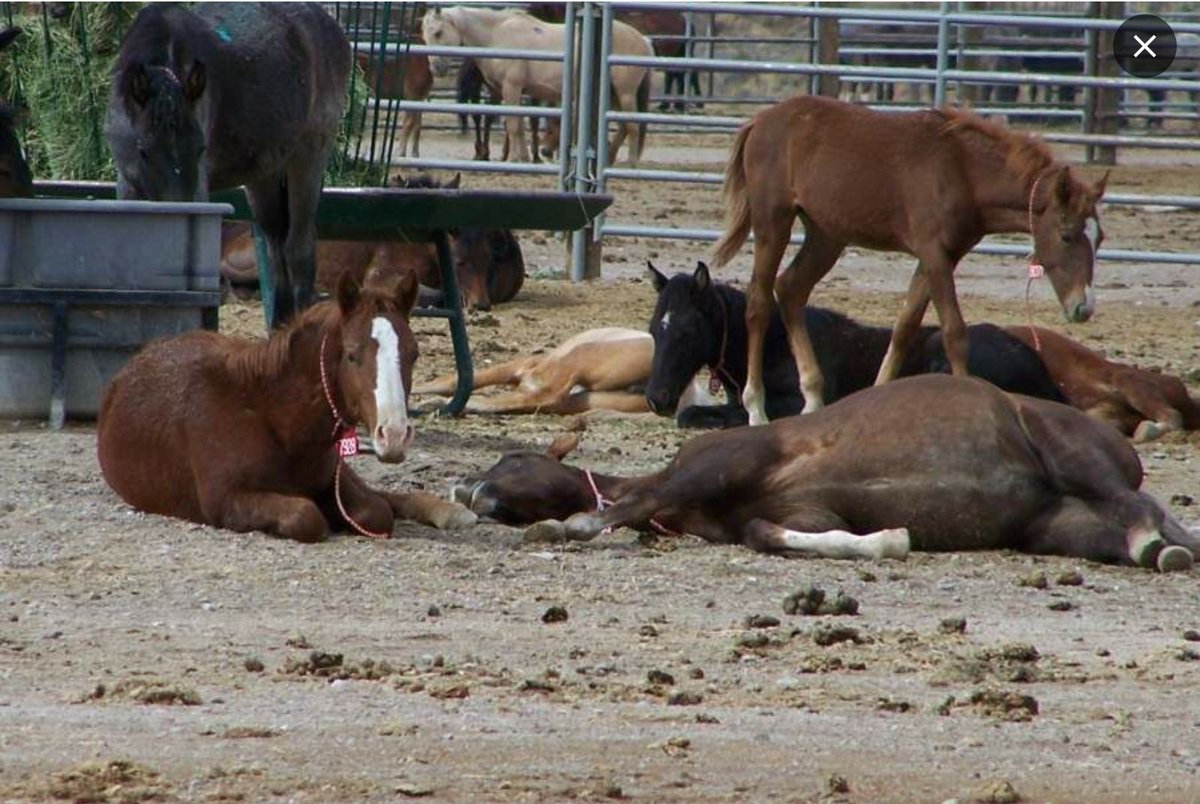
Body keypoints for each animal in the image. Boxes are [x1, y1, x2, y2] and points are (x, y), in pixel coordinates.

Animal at [98, 270, 476, 542]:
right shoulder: (224, 500)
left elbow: (377, 511)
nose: (394, 436)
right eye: (352, 355)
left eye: (414, 354)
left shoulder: (335, 481)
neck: (272, 418)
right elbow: (306, 516)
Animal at [104, 3, 350, 327]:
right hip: (265, 175)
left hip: (309, 157)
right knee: (275, 250)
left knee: (300, 250)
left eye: (200, 149)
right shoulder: (127, 186)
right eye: (143, 151)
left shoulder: (198, 190)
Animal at [422, 6, 652, 165]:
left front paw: (516, 158)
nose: (436, 68)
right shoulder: (508, 91)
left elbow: (514, 125)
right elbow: (517, 124)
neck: (496, 33)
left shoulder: (512, 88)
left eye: (438, 32)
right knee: (623, 126)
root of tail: (643, 39)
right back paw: (610, 159)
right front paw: (524, 156)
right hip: (614, 95)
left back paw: (630, 163)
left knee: (633, 125)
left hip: (625, 93)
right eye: (424, 36)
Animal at [459, 375, 1196, 573]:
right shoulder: (802, 515)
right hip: (1062, 526)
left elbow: (619, 509)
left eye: (511, 458)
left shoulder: (717, 465)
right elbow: (773, 534)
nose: (466, 487)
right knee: (1139, 526)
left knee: (1136, 508)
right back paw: (1163, 549)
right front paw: (888, 540)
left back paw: (1156, 543)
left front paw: (570, 523)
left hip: (1071, 457)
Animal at [713, 97, 1107, 426]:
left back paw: (812, 400)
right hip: (773, 223)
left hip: (826, 235)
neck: (962, 170)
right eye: (1067, 234)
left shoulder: (941, 256)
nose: (1083, 307)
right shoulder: (934, 254)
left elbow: (904, 327)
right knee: (759, 302)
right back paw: (756, 409)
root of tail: (760, 120)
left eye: (1100, 238)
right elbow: (954, 331)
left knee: (791, 289)